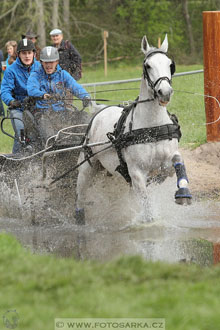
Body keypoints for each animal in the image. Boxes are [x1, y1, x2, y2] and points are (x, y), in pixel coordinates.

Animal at [75, 34, 191, 224]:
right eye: (148, 65)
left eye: (170, 65)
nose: (165, 92)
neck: (151, 128)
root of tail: (100, 111)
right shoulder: (136, 172)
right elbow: (146, 206)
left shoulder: (167, 160)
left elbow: (175, 163)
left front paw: (183, 192)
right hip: (86, 168)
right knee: (80, 196)